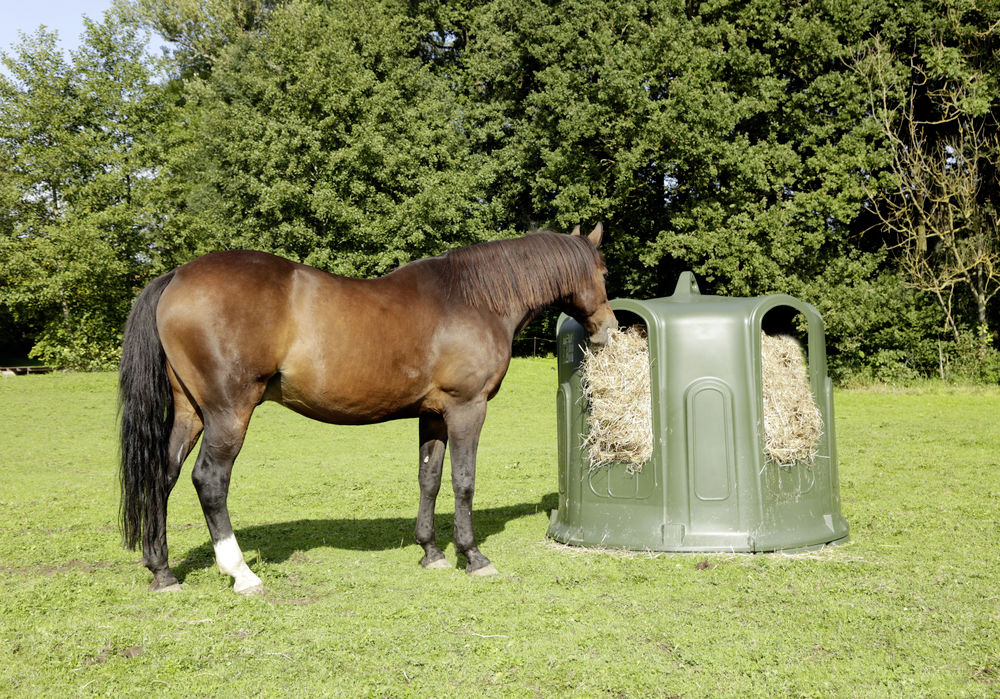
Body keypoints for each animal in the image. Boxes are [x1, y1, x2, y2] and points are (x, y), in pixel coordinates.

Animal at [120, 223, 612, 592]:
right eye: (603, 270)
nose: (608, 328)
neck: (474, 299)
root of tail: (177, 277)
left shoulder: (432, 415)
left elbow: (430, 479)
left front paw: (431, 552)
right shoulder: (466, 409)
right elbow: (464, 481)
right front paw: (472, 556)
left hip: (190, 413)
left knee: (162, 475)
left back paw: (162, 571)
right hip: (228, 414)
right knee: (209, 481)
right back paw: (241, 573)